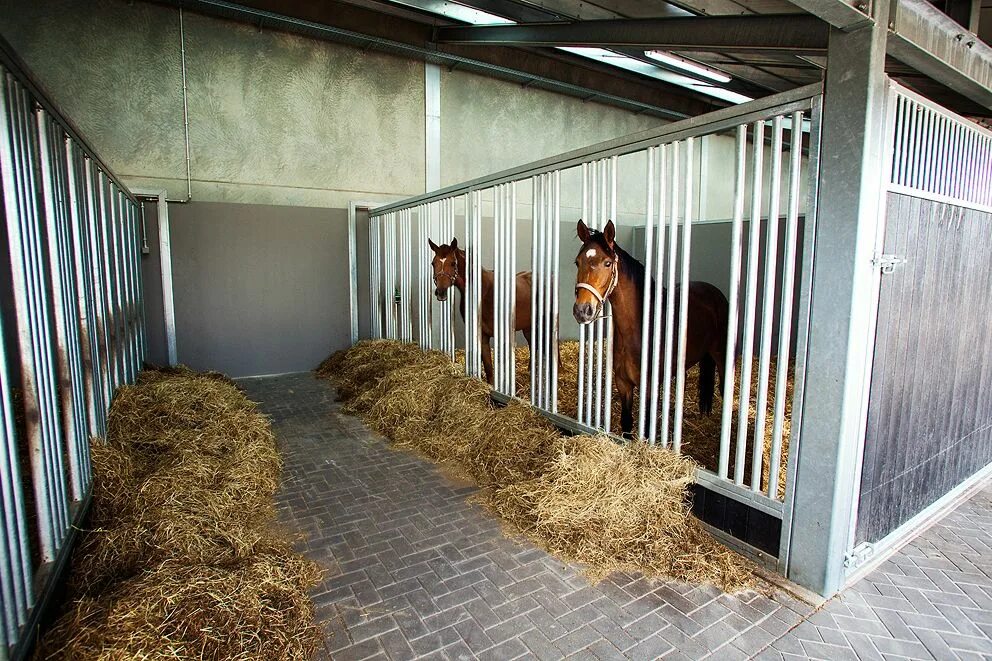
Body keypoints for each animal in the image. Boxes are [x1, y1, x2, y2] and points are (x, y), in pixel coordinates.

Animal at [428, 238, 536, 384]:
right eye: (433, 263)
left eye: (453, 263)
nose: (440, 292)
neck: (484, 292)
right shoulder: (482, 335)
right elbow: (488, 367)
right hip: (528, 327)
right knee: (532, 344)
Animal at [568, 219, 732, 438]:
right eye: (578, 262)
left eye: (607, 263)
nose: (582, 310)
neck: (639, 329)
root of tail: (715, 293)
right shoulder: (623, 384)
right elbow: (627, 425)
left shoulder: (648, 386)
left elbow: (645, 429)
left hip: (721, 356)